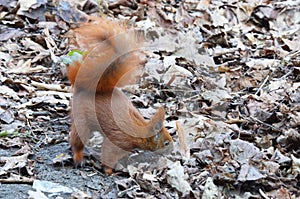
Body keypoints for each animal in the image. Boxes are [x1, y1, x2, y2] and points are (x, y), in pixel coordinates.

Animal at [66, 17, 172, 174]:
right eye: (165, 143)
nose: (173, 151)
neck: (139, 130)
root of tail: (85, 89)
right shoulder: (118, 140)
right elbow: (108, 154)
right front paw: (108, 171)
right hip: (81, 119)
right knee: (78, 140)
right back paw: (78, 158)